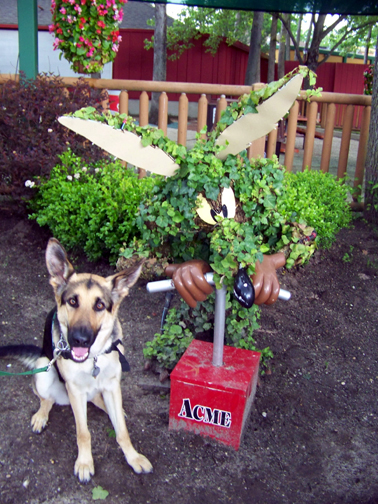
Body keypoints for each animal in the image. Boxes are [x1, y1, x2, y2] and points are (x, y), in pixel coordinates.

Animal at [0, 238, 154, 482]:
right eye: (72, 301)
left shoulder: (112, 386)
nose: (79, 339)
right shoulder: (75, 391)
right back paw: (41, 415)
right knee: (46, 399)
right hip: (43, 369)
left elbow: (122, 432)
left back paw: (113, 410)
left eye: (99, 305)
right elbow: (83, 433)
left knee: (101, 402)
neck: (93, 360)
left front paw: (133, 457)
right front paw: (84, 463)